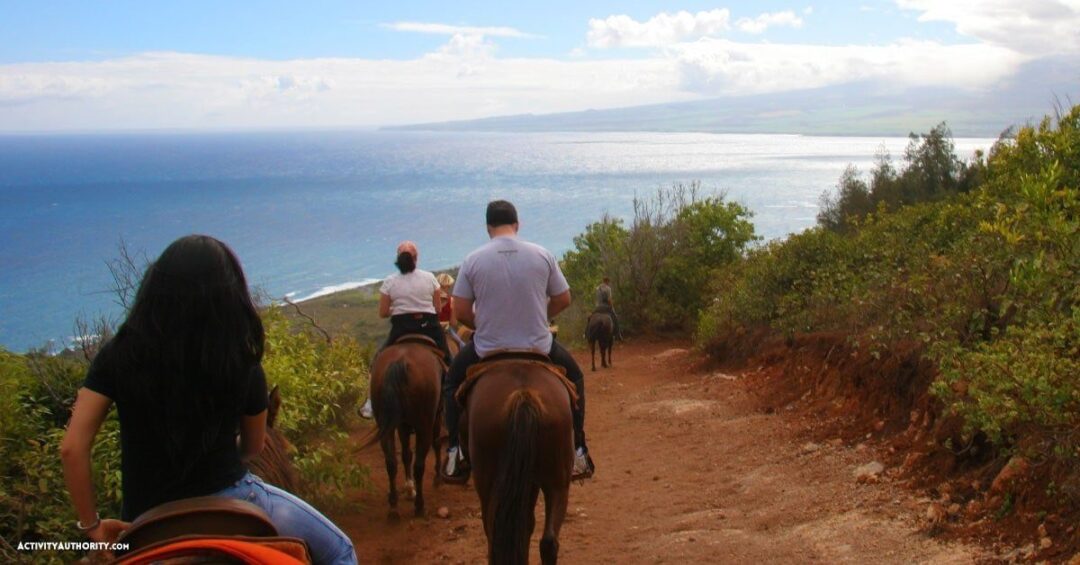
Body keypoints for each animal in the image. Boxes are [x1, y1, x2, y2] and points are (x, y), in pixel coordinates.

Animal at [367, 339, 442, 520]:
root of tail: (399, 361)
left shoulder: (402, 424)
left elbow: (406, 454)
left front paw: (409, 488)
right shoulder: (436, 416)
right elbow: (436, 443)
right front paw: (437, 476)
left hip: (386, 425)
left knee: (391, 462)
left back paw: (394, 507)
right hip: (424, 425)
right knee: (419, 466)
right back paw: (420, 506)